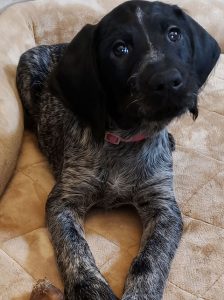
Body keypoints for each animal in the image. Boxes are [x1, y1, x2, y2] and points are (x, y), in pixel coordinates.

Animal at [16, 0, 220, 300]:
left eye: (174, 34)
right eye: (120, 49)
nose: (168, 80)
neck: (125, 140)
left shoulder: (164, 207)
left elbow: (151, 260)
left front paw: (140, 292)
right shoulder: (63, 201)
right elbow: (73, 248)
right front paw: (91, 289)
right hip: (27, 64)